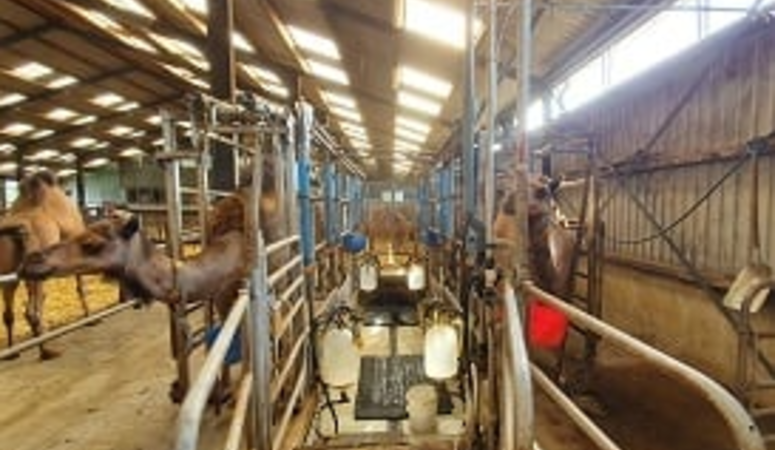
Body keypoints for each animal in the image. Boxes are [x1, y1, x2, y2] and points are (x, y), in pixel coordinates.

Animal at [0, 171, 87, 360]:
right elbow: (80, 284)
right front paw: (90, 318)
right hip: (34, 271)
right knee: (32, 312)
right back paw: (46, 350)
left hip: (9, 274)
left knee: (10, 314)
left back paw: (14, 352)